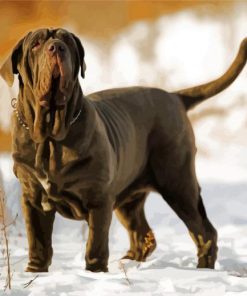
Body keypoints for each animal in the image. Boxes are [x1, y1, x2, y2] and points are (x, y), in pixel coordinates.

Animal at [0, 28, 247, 272]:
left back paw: (202, 269)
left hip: (178, 183)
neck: (50, 137)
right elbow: (38, 241)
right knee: (143, 234)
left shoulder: (99, 200)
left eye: (67, 41)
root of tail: (174, 96)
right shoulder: (32, 199)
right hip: (130, 198)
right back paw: (128, 263)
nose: (57, 47)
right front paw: (35, 272)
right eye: (36, 44)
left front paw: (95, 273)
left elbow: (95, 243)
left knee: (204, 231)